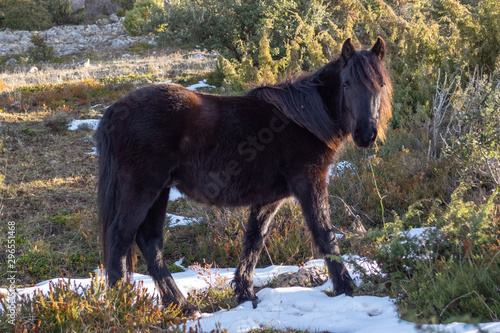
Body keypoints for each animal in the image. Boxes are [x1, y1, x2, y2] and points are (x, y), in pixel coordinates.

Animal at [94, 36, 390, 314]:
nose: (366, 134)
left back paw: (182, 305)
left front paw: (245, 293)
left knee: (149, 241)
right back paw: (123, 304)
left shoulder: (270, 198)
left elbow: (254, 239)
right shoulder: (309, 182)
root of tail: (115, 110)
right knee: (121, 237)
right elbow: (324, 233)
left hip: (160, 191)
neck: (304, 120)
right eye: (346, 84)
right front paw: (346, 287)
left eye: (381, 85)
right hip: (144, 187)